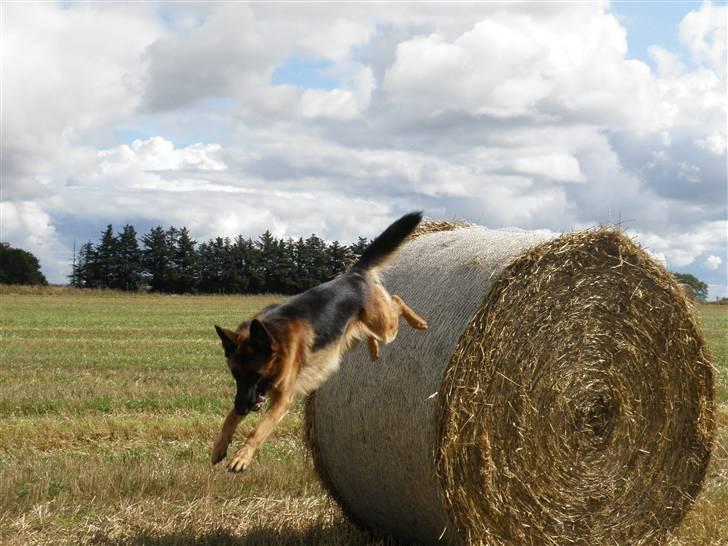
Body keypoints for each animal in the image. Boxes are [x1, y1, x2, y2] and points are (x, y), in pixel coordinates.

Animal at [210, 210, 426, 470]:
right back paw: (374, 350)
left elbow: (259, 429)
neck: (275, 336)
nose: (243, 407)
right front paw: (220, 447)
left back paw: (418, 322)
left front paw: (242, 456)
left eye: (256, 374)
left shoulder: (282, 400)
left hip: (384, 326)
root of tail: (352, 273)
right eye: (235, 375)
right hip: (348, 337)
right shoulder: (251, 394)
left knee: (396, 300)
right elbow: (228, 419)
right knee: (372, 332)